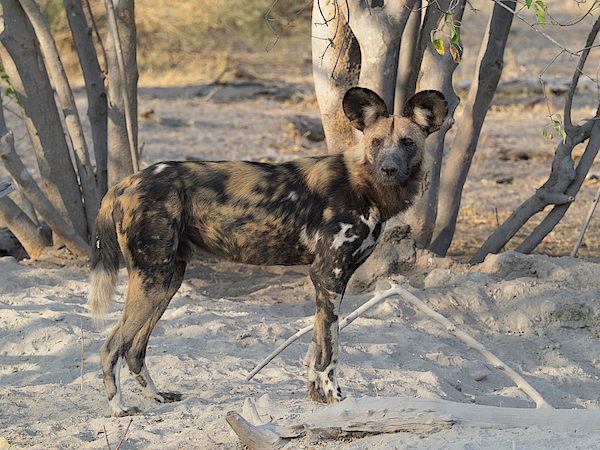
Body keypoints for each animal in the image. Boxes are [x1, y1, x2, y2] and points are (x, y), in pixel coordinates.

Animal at [89, 86, 446, 416]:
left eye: (407, 143)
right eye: (375, 143)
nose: (388, 169)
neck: (366, 187)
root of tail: (126, 182)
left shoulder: (329, 281)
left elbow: (316, 346)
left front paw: (315, 397)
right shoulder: (329, 275)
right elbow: (330, 351)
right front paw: (335, 399)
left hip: (168, 280)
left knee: (134, 349)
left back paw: (156, 396)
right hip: (153, 279)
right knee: (110, 347)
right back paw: (119, 409)